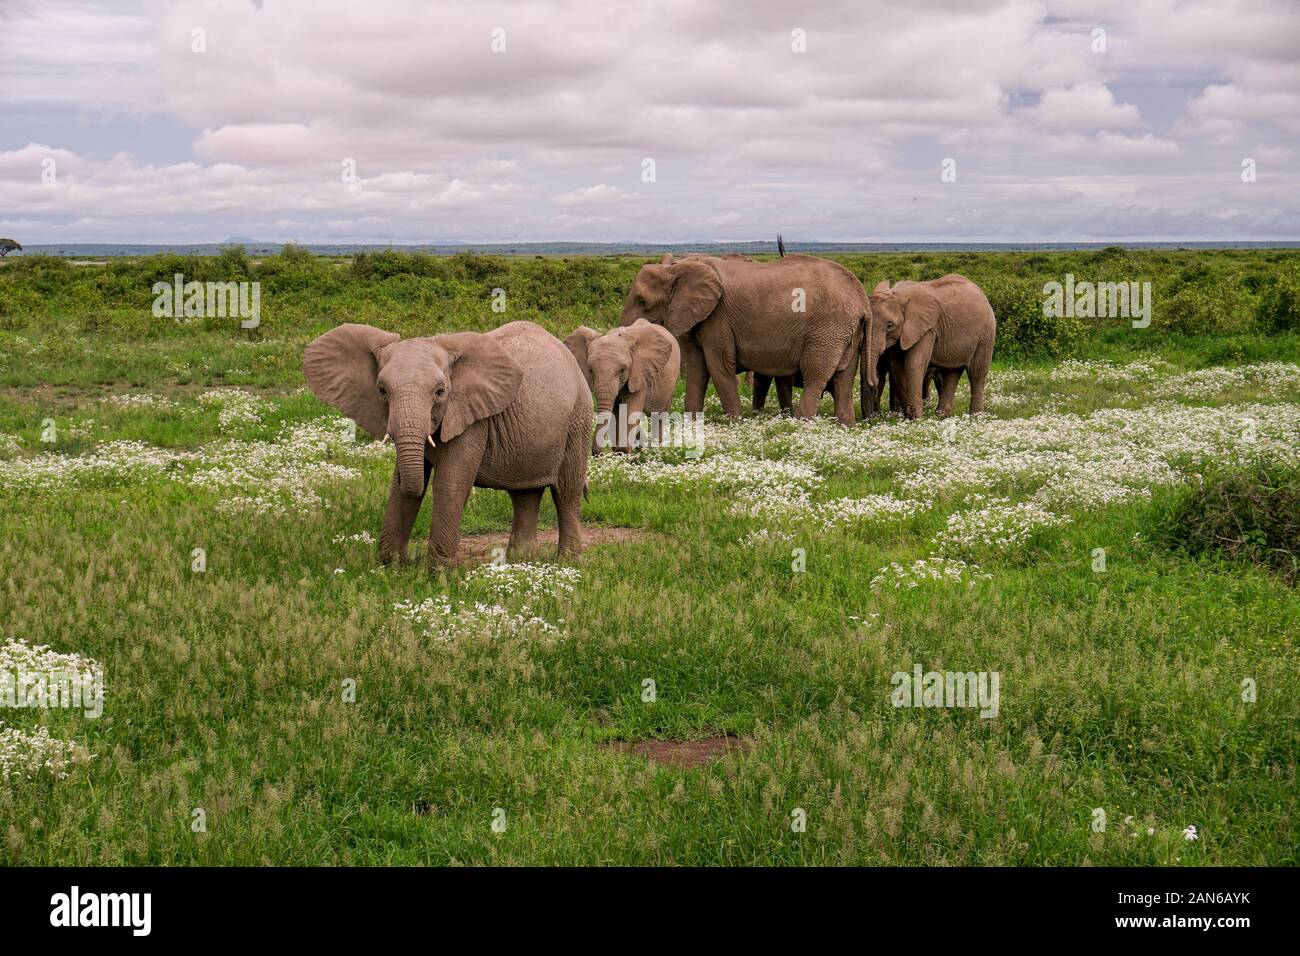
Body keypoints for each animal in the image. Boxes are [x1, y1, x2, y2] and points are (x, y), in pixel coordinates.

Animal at [303, 320, 592, 568]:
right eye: (382, 391)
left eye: (440, 392)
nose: (410, 560)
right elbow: (402, 486)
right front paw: (393, 567)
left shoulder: (472, 418)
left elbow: (450, 483)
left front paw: (439, 574)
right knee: (524, 493)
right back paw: (522, 561)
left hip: (578, 418)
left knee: (566, 491)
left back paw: (567, 562)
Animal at [564, 318, 680, 453]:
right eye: (590, 370)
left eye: (622, 370)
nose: (598, 453)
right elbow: (616, 413)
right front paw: (618, 453)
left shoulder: (639, 372)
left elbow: (630, 411)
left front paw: (622, 453)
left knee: (659, 415)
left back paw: (656, 450)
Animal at [620, 253, 867, 424]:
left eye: (642, 301)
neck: (677, 269)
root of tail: (861, 297)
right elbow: (698, 369)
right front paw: (692, 425)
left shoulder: (718, 317)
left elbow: (719, 365)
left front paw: (735, 424)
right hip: (846, 331)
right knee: (844, 379)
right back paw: (846, 426)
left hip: (827, 329)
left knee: (815, 375)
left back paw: (800, 424)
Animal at [862, 275, 996, 420]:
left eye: (890, 325)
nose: (875, 377)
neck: (900, 295)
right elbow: (897, 366)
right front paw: (907, 418)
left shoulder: (928, 330)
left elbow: (914, 363)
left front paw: (916, 418)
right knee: (952, 372)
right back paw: (941, 416)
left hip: (986, 334)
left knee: (976, 372)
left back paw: (975, 417)